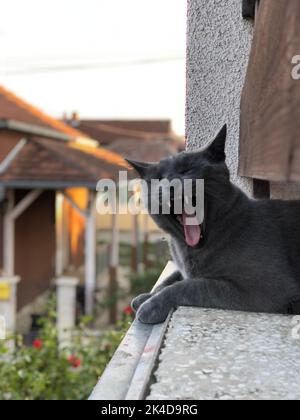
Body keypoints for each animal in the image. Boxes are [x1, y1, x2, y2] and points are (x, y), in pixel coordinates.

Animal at [126, 125, 300, 324]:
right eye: (159, 178)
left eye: (186, 169)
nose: (170, 185)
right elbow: (172, 277)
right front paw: (147, 295)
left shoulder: (261, 290)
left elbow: (193, 285)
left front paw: (151, 305)